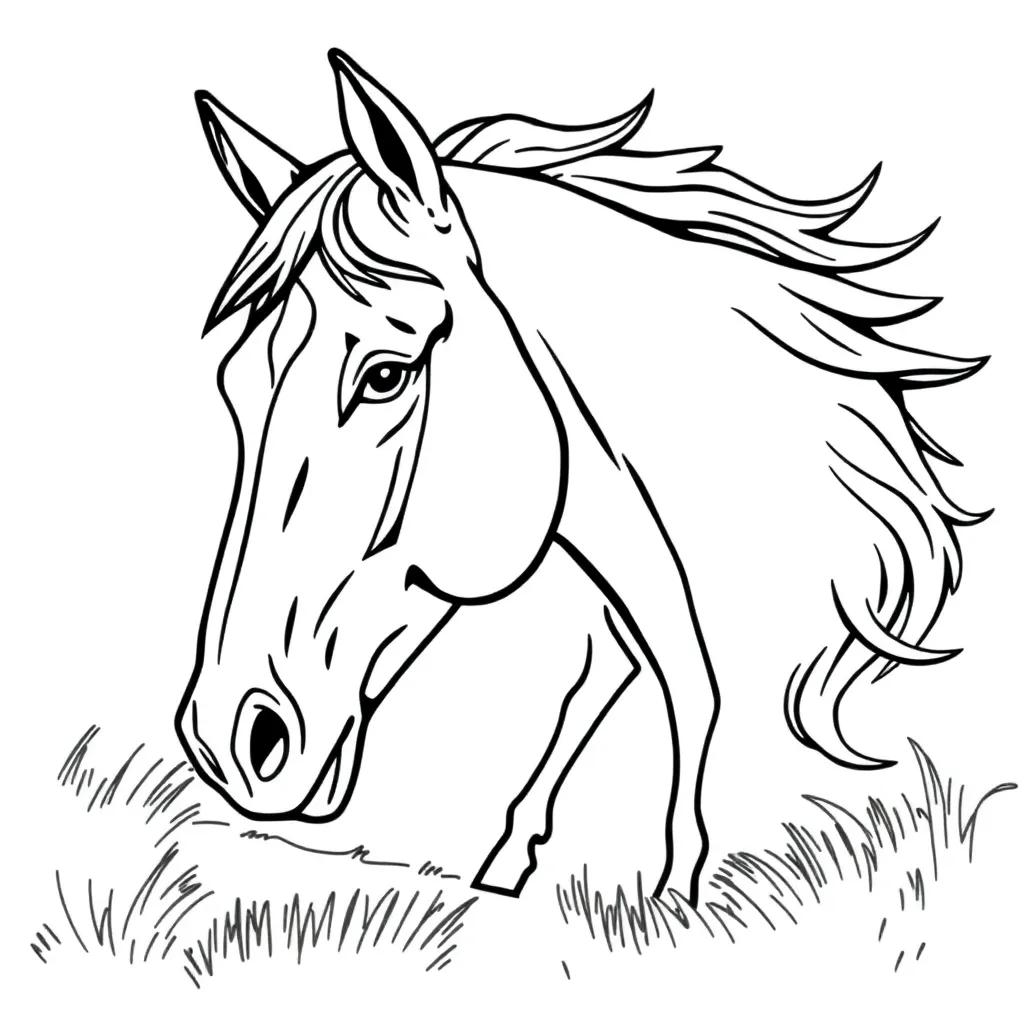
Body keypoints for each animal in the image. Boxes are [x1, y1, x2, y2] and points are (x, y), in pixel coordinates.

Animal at [175, 50, 987, 904]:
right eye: (234, 385)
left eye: (385, 376)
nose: (231, 739)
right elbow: (624, 668)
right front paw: (518, 862)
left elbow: (668, 679)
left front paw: (672, 894)